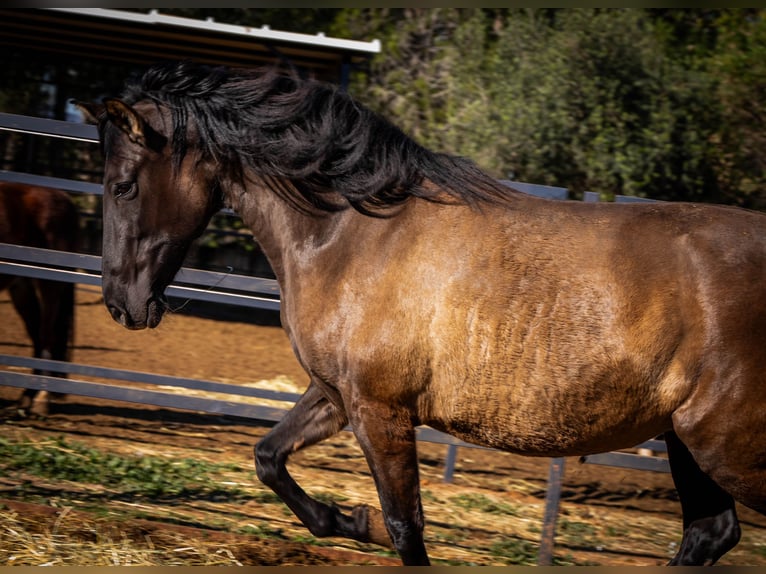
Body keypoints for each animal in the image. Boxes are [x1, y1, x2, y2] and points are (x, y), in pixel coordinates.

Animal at [0, 182, 78, 416]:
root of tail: (64, 198)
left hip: (50, 283)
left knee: (46, 334)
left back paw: (41, 399)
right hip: (21, 286)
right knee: (36, 333)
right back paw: (27, 397)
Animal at [76, 62, 766, 568]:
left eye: (122, 187)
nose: (121, 305)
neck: (352, 235)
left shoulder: (381, 411)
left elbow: (407, 526)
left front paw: (366, 522)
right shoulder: (337, 395)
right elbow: (268, 456)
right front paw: (347, 519)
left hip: (725, 445)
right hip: (686, 440)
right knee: (709, 534)